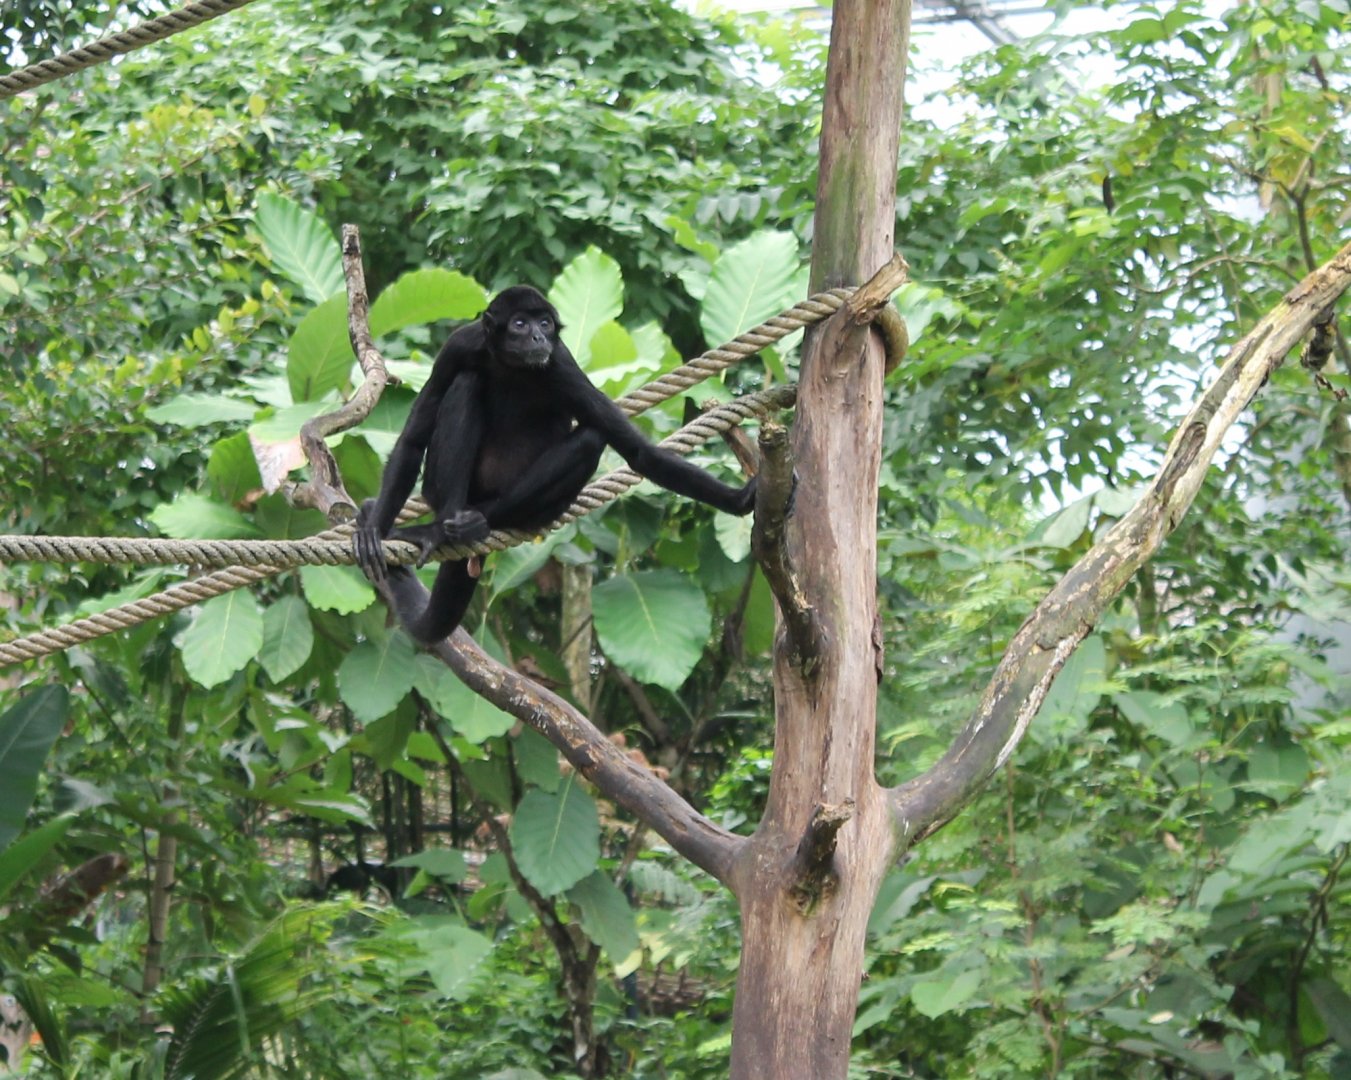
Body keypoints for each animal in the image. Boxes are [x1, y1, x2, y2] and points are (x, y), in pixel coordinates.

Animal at [354, 285, 755, 645]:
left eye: (545, 323)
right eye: (520, 323)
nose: (537, 336)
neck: (512, 367)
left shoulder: (560, 362)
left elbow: (639, 453)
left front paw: (738, 500)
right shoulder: (459, 346)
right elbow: (412, 438)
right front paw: (376, 530)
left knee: (590, 439)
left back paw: (469, 525)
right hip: (440, 488)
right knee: (466, 383)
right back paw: (443, 528)